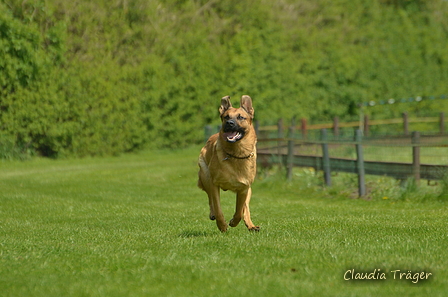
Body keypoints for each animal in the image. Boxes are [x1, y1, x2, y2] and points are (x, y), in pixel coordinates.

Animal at [197, 95, 260, 231]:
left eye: (241, 117)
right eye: (226, 116)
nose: (229, 123)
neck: (237, 154)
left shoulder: (244, 189)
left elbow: (239, 211)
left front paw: (234, 222)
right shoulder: (214, 184)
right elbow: (218, 207)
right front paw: (222, 226)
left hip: (249, 191)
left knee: (246, 208)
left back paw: (251, 225)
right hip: (205, 176)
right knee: (210, 199)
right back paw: (213, 214)